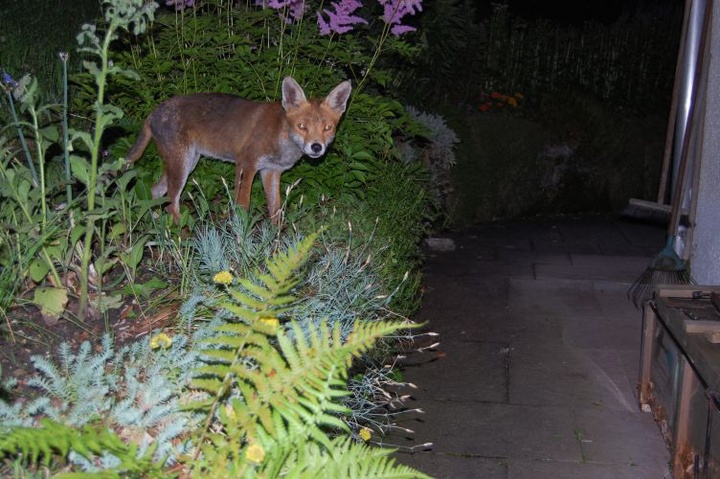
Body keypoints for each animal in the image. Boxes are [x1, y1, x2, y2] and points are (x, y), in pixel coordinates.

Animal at [126, 76, 352, 223]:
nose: (316, 147)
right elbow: (243, 205)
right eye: (302, 126)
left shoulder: (270, 171)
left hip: (187, 164)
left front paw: (276, 245)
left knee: (156, 191)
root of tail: (152, 112)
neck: (281, 136)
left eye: (327, 128)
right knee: (171, 203)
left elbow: (276, 211)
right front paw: (241, 239)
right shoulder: (246, 164)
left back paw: (156, 225)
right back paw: (183, 236)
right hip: (182, 166)